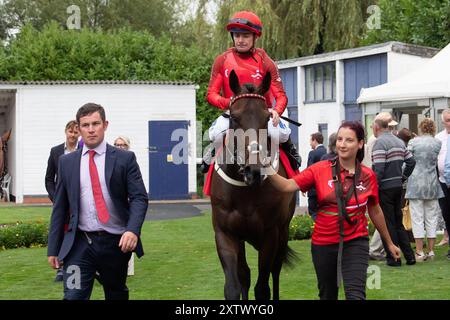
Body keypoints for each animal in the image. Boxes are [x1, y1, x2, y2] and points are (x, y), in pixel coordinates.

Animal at [210, 70, 298, 300]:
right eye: (234, 117)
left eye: (266, 118)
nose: (254, 170)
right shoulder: (225, 233)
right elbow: (233, 286)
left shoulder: (270, 233)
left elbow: (263, 288)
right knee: (245, 274)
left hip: (283, 231)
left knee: (275, 270)